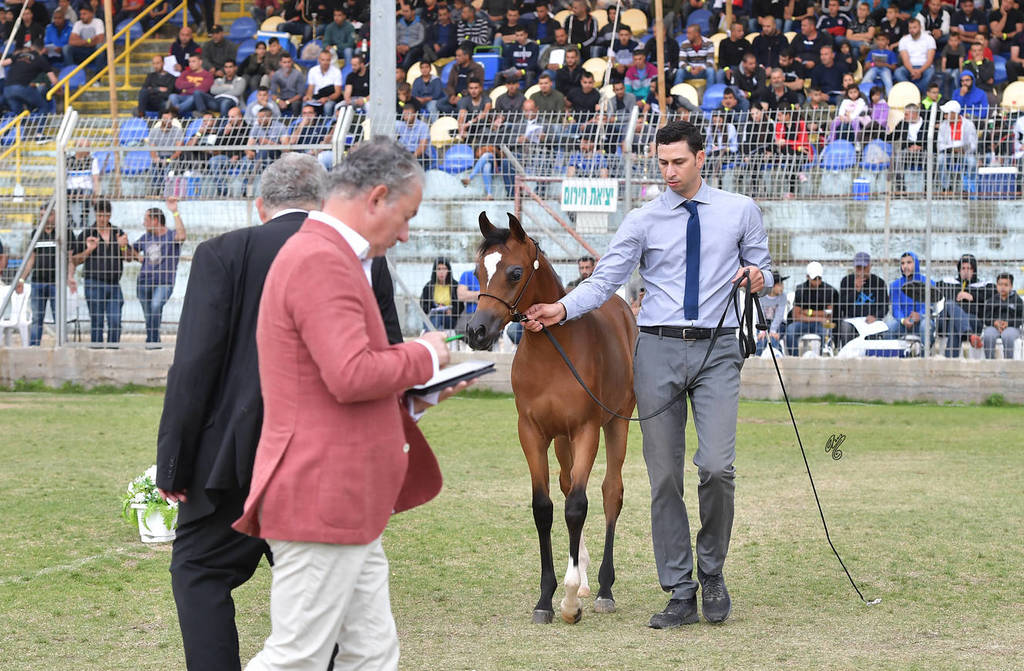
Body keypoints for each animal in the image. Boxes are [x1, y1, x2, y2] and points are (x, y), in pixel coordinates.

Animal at [465, 212, 637, 625]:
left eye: (515, 272)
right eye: (478, 272)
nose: (476, 332)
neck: (552, 354)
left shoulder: (587, 430)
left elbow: (577, 506)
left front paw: (571, 602)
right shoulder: (532, 433)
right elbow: (545, 508)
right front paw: (547, 596)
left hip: (618, 423)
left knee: (610, 493)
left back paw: (603, 588)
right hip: (561, 442)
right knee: (568, 483)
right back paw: (586, 577)